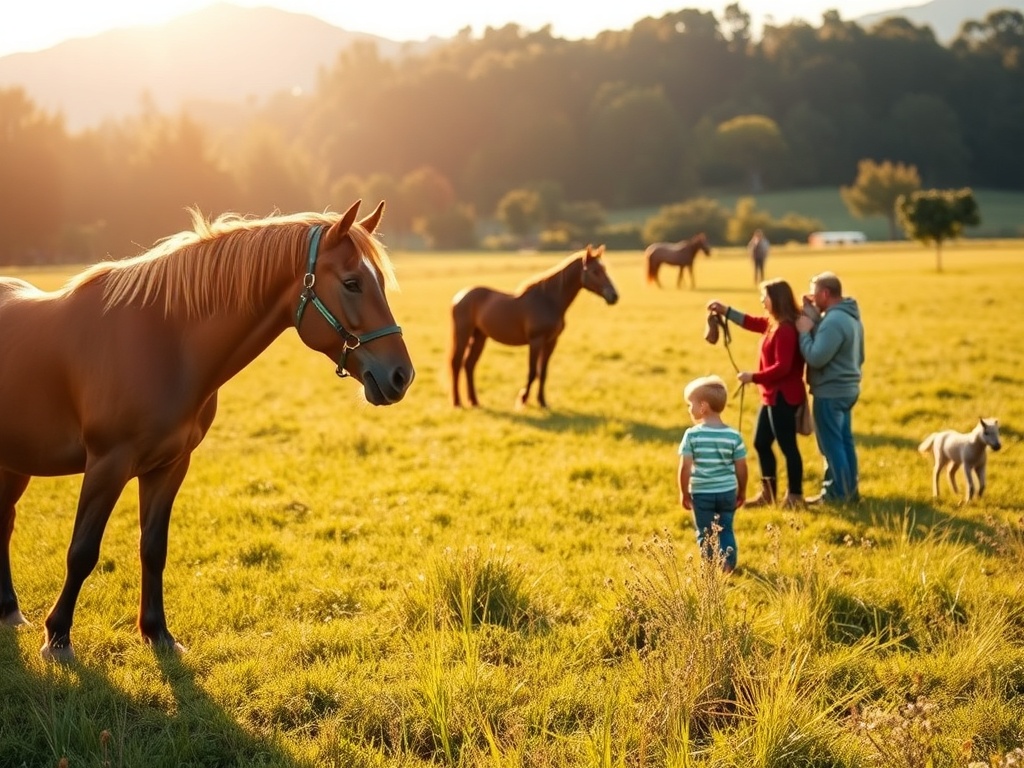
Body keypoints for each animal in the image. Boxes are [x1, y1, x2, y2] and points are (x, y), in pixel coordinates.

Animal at [0, 199, 414, 662]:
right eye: (352, 283)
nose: (401, 375)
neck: (164, 342)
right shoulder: (107, 464)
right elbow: (82, 551)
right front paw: (58, 638)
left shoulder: (169, 465)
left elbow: (153, 548)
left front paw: (158, 634)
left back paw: (9, 611)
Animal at [449, 244, 618, 409]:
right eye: (595, 271)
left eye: (604, 269)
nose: (614, 296)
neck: (548, 301)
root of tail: (459, 296)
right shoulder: (536, 341)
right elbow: (532, 372)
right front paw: (522, 400)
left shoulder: (551, 342)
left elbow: (543, 373)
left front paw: (542, 402)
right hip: (463, 334)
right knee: (456, 363)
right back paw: (457, 403)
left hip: (479, 336)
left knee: (469, 365)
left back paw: (474, 401)